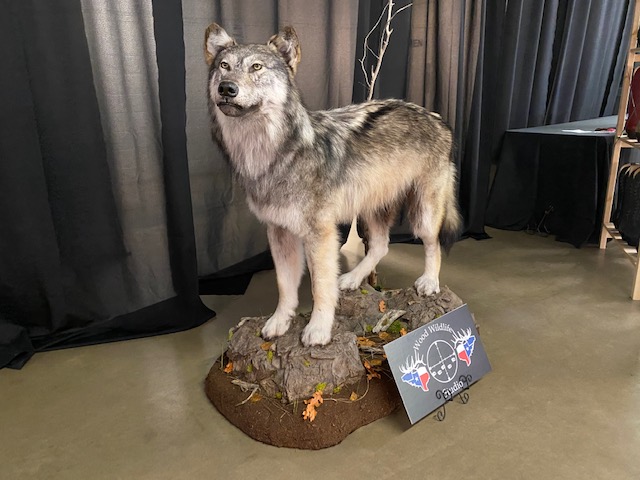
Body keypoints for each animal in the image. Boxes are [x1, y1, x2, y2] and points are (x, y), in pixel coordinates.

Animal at [204, 24, 462, 347]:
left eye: (256, 67)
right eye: (224, 66)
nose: (227, 88)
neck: (272, 155)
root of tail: (438, 118)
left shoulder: (321, 235)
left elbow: (320, 286)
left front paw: (318, 329)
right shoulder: (279, 232)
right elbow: (284, 285)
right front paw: (279, 321)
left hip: (423, 213)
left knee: (433, 244)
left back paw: (429, 281)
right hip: (371, 208)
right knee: (381, 246)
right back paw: (352, 279)